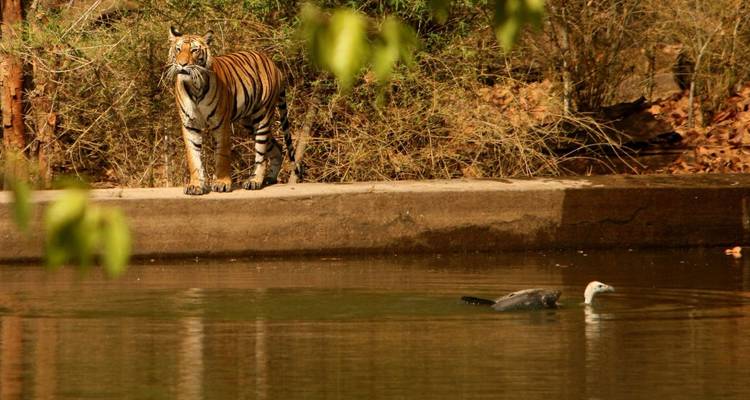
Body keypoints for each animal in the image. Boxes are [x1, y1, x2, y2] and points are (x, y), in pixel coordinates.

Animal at [166, 26, 303, 195]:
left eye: (194, 50)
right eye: (178, 49)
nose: (182, 64)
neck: (194, 85)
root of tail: (274, 65)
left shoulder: (221, 124)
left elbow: (222, 155)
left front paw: (222, 183)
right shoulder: (190, 125)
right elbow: (193, 157)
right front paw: (196, 185)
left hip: (262, 117)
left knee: (261, 153)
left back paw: (254, 181)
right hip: (249, 123)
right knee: (277, 147)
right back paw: (270, 178)